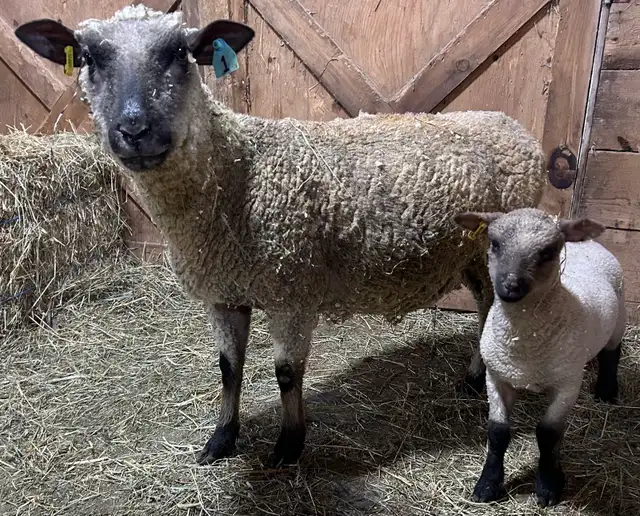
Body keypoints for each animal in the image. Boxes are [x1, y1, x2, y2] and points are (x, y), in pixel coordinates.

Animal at [16, 5, 548, 468]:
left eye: (180, 52)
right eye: (88, 57)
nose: (133, 130)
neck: (239, 173)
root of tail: (513, 127)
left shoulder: (291, 290)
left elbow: (287, 374)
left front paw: (289, 445)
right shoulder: (224, 293)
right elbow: (229, 368)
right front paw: (221, 439)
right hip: (471, 254)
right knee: (483, 304)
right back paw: (475, 378)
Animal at [454, 207, 626, 507]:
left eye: (548, 252)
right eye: (494, 243)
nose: (510, 285)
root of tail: (587, 243)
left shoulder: (567, 384)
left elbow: (548, 434)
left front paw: (547, 486)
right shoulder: (496, 377)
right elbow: (497, 432)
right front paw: (487, 485)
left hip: (621, 316)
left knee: (611, 353)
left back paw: (606, 390)